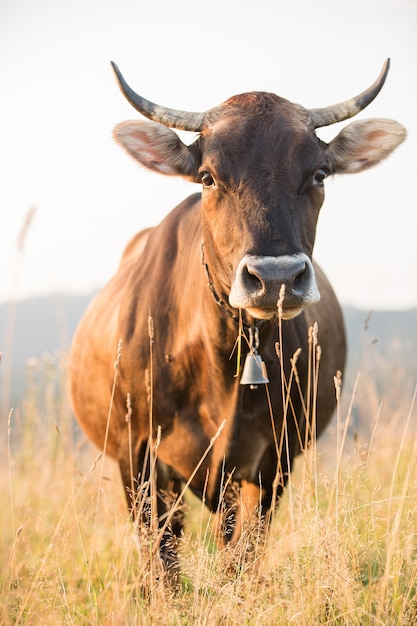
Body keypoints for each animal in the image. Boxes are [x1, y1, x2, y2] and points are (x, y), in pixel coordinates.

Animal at [68, 59, 404, 576]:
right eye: (207, 176)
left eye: (320, 173)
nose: (276, 277)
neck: (220, 360)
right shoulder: (136, 458)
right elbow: (162, 565)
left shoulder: (274, 461)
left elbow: (242, 559)